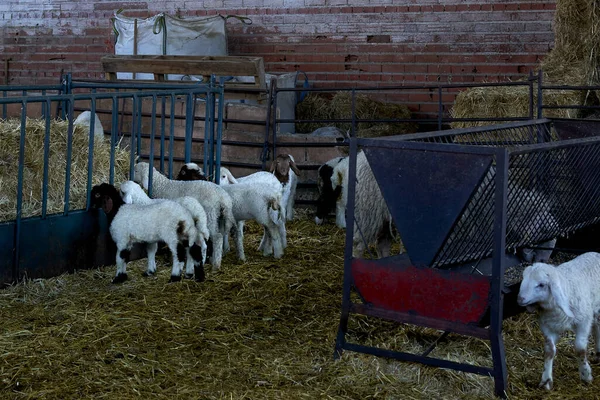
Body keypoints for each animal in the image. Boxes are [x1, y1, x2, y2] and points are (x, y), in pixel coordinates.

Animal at [512, 252, 600, 390]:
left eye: (541, 285)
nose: (520, 299)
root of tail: (595, 253)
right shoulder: (547, 326)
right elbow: (549, 351)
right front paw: (546, 380)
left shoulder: (584, 322)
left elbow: (580, 349)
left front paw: (585, 375)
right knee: (596, 325)